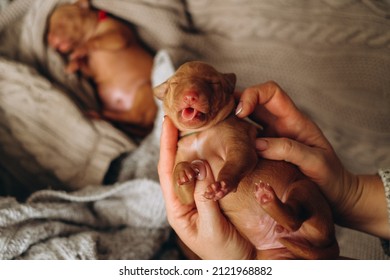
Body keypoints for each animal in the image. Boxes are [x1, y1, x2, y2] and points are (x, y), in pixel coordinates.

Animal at [48, 0, 157, 137]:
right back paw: (99, 114)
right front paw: (74, 63)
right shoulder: (92, 69)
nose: (49, 39)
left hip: (145, 90)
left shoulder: (118, 35)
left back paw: (100, 114)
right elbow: (87, 68)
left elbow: (94, 40)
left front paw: (79, 51)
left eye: (62, 20)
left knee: (134, 116)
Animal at [154, 61, 340, 260]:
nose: (190, 96)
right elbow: (186, 197)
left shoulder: (238, 141)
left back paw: (268, 200)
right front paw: (183, 173)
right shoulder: (184, 166)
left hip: (305, 189)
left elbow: (237, 161)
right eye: (175, 84)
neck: (200, 133)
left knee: (296, 218)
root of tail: (331, 242)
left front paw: (222, 185)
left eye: (213, 83)